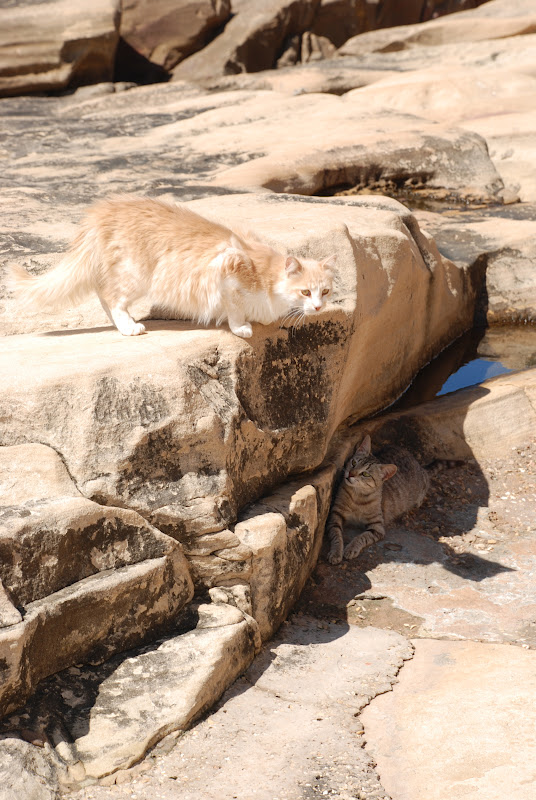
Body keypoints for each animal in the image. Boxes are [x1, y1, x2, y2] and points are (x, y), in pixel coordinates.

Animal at [8, 194, 335, 338]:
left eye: (326, 292)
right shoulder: (227, 270)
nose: (319, 307)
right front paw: (242, 327)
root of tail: (103, 210)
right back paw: (130, 327)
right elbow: (235, 309)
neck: (267, 274)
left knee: (104, 295)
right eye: (306, 292)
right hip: (135, 275)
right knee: (112, 298)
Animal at [326, 434, 430, 565]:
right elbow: (336, 535)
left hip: (422, 481)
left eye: (365, 474)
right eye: (354, 462)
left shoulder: (377, 527)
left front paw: (351, 548)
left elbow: (362, 537)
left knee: (427, 476)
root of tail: (411, 456)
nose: (350, 474)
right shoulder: (335, 517)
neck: (357, 497)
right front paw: (336, 552)